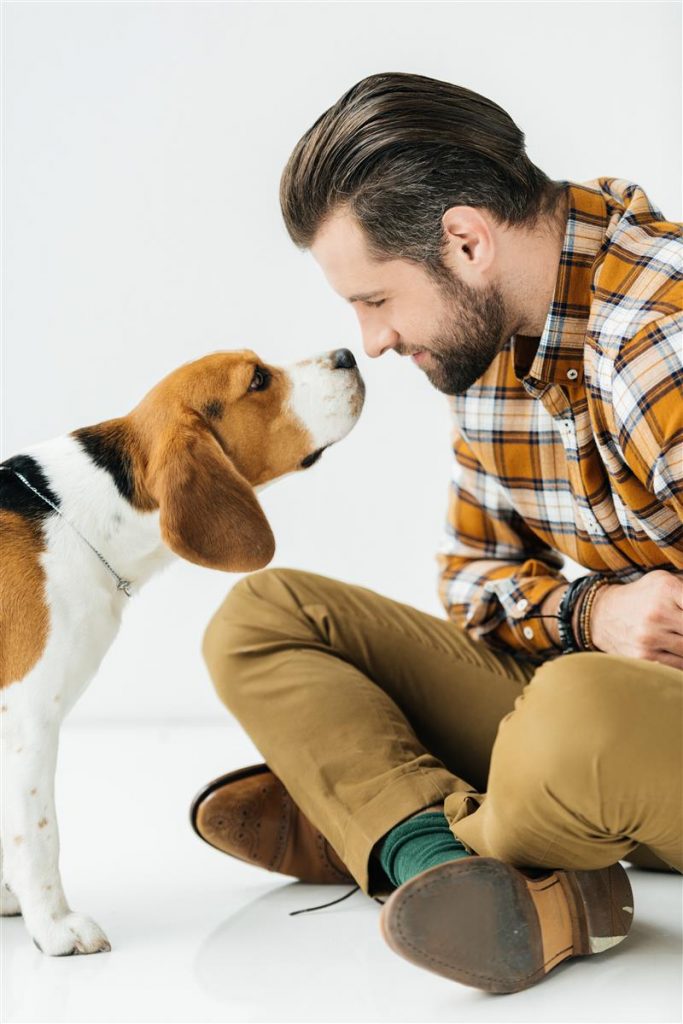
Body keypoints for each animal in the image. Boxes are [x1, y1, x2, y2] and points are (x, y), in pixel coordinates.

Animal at [0, 348, 366, 954]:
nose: (347, 354)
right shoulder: (26, 722)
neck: (85, 512)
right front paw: (54, 926)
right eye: (258, 379)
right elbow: (39, 833)